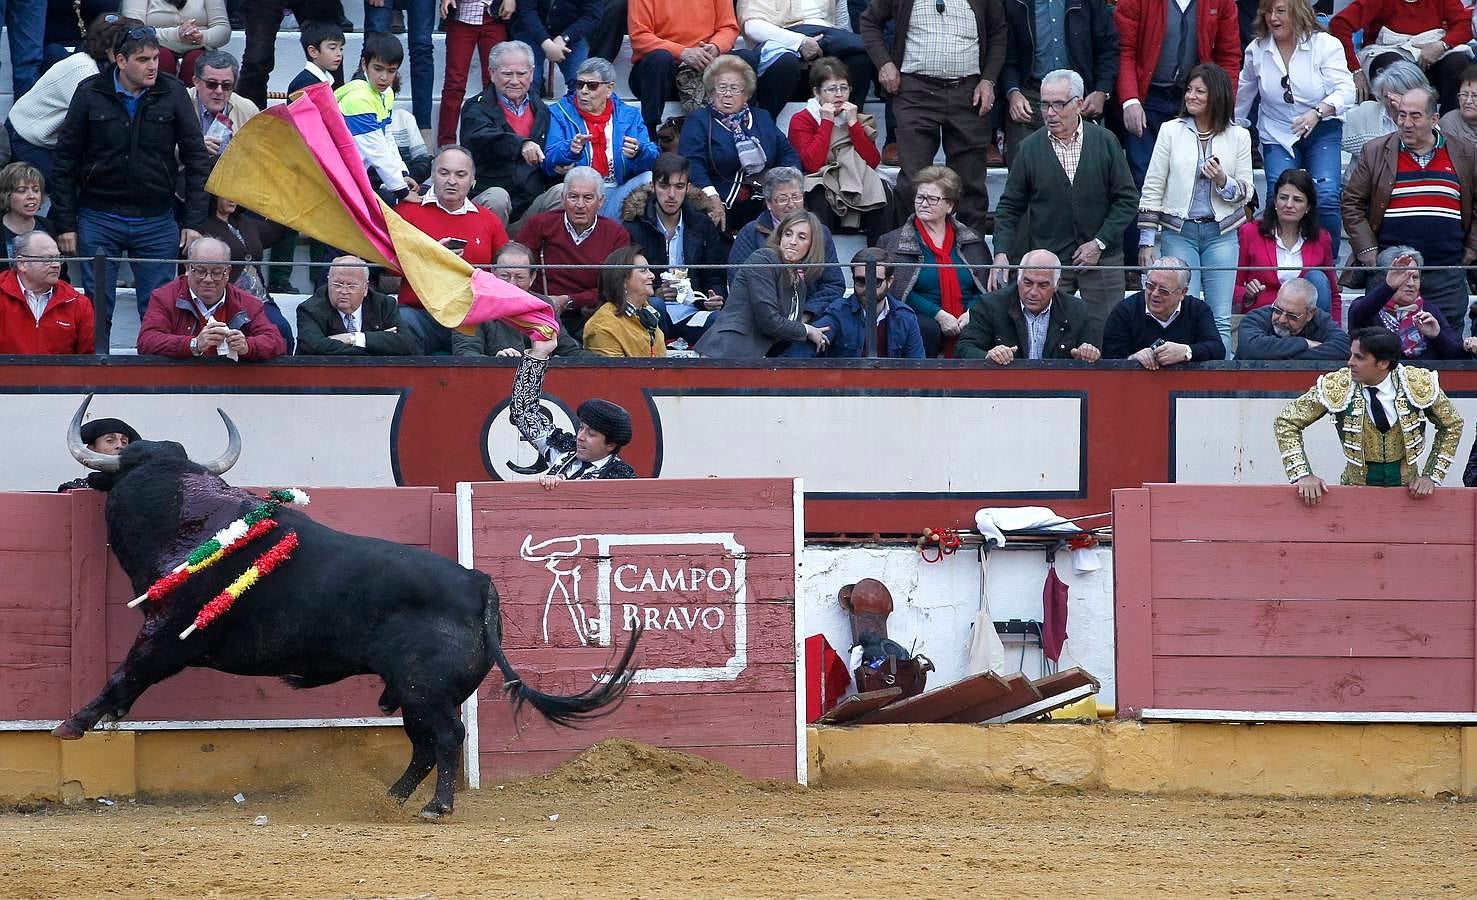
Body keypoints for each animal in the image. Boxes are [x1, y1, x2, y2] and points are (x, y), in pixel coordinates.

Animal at [60, 396, 638, 815]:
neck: (188, 517)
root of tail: (478, 583)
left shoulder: (167, 633)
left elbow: (125, 673)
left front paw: (74, 723)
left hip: (425, 687)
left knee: (447, 737)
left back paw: (436, 807)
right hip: (413, 690)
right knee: (424, 743)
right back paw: (393, 799)